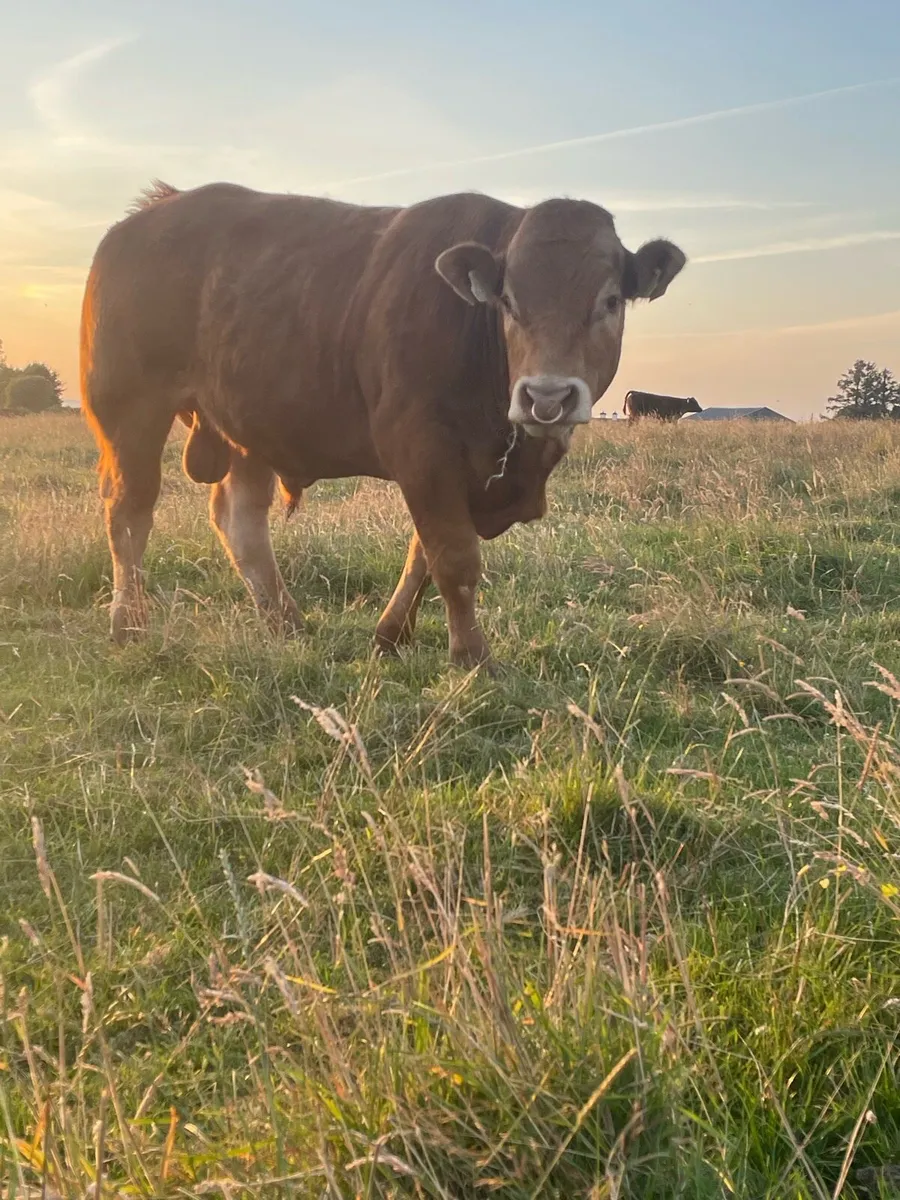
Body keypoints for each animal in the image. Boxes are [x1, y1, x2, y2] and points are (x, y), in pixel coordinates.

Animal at [80, 181, 687, 668]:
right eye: (509, 302)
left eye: (611, 300)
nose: (547, 395)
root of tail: (150, 212)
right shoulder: (421, 451)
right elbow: (453, 558)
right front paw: (472, 658)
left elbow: (423, 555)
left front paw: (392, 634)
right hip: (129, 411)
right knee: (129, 513)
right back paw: (128, 623)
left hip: (248, 426)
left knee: (240, 521)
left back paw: (285, 622)